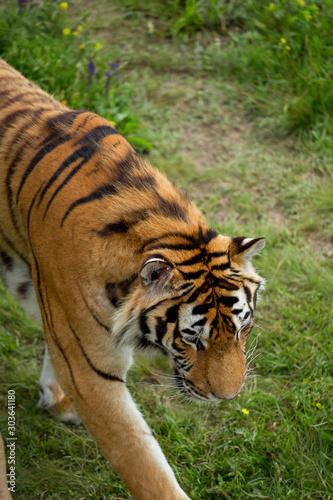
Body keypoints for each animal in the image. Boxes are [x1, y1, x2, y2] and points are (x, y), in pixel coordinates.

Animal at [0, 56, 264, 498]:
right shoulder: (91, 368)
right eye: (191, 338)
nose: (227, 399)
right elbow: (142, 462)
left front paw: (56, 400)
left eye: (242, 328)